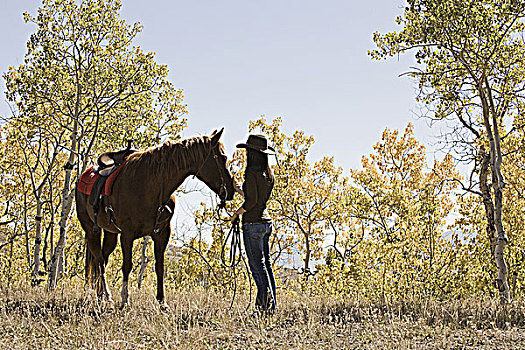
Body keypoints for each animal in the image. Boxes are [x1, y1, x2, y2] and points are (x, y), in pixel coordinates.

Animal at [74, 129, 232, 306]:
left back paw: (100, 294)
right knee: (99, 259)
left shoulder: (161, 234)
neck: (150, 185)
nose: (231, 190)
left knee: (102, 259)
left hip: (110, 233)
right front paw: (125, 299)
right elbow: (127, 265)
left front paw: (162, 302)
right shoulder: (127, 235)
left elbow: (160, 267)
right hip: (91, 230)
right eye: (223, 158)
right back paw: (106, 294)